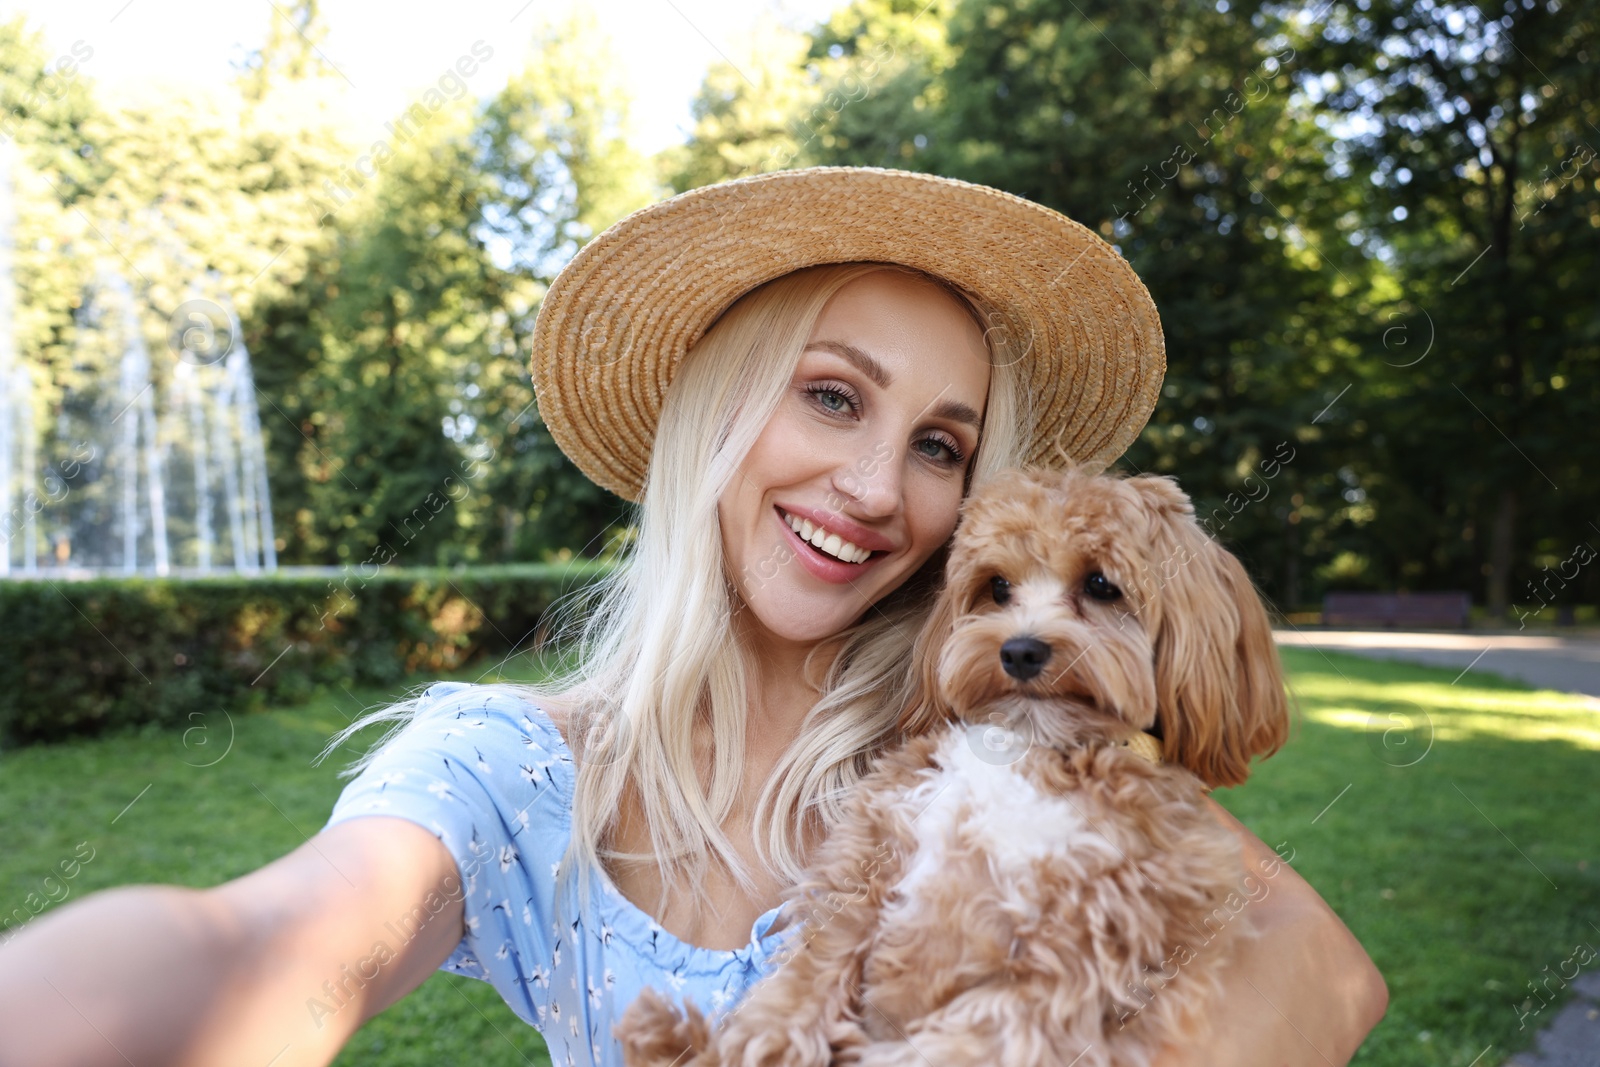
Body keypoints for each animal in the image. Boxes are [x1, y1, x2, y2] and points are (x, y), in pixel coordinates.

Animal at [617, 467, 1292, 1067]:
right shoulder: (871, 857)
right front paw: (756, 1042)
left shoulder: (1077, 961)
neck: (1030, 750)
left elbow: (972, 1038)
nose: (1020, 650)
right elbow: (808, 974)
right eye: (997, 587)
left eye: (1102, 585)